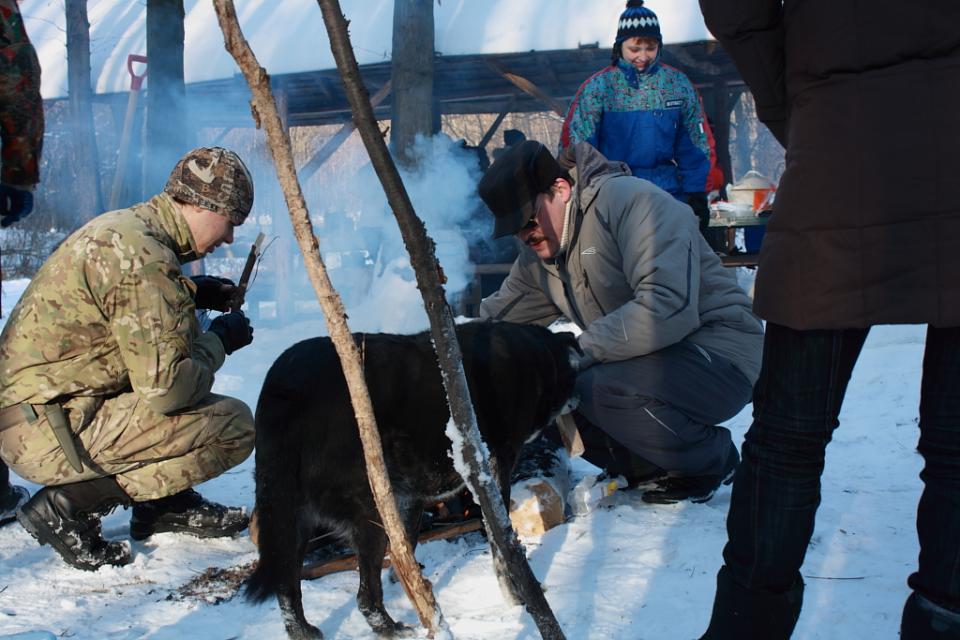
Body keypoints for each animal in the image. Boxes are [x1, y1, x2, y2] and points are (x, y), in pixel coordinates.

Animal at [246, 322, 576, 636]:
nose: (578, 398)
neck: (536, 361)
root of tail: (285, 387)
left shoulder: (412, 497)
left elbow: (407, 543)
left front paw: (406, 582)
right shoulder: (491, 476)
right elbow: (501, 549)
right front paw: (516, 597)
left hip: (293, 522)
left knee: (287, 589)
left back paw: (302, 630)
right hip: (369, 513)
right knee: (364, 599)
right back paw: (392, 629)